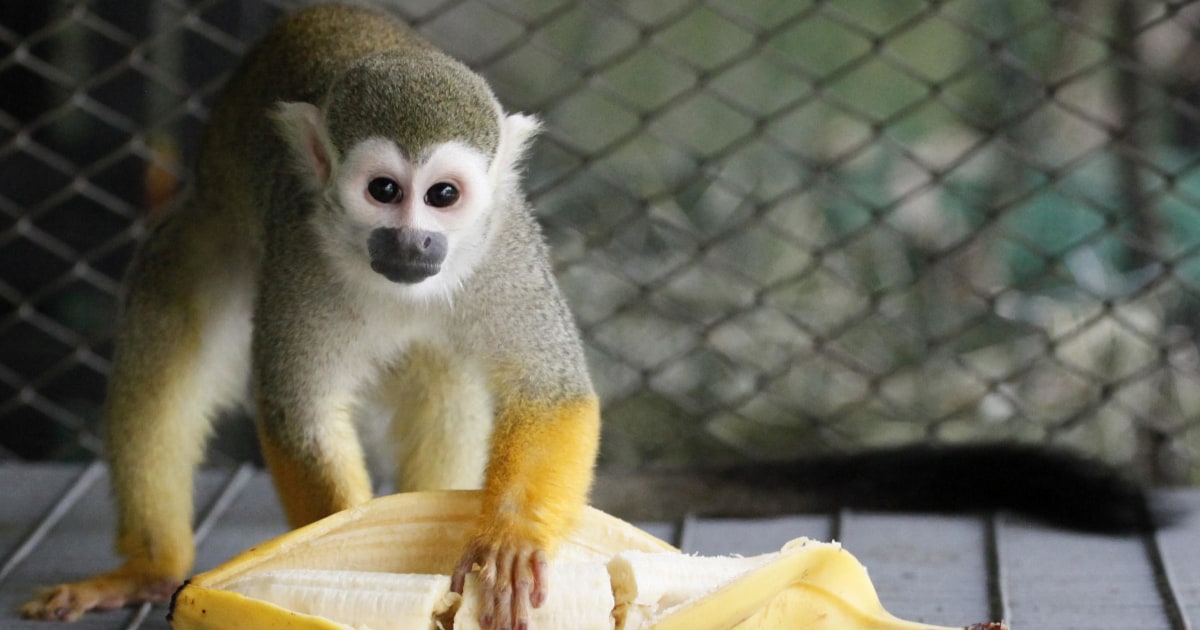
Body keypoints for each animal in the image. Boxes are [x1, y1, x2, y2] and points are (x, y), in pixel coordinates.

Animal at [20, 3, 596, 628]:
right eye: (384, 190)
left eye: (443, 195)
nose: (413, 242)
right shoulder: (300, 250)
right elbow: (300, 413)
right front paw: (338, 548)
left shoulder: (505, 244)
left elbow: (550, 391)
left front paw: (511, 538)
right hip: (213, 234)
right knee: (164, 349)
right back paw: (149, 569)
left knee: (444, 378)